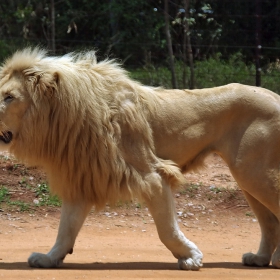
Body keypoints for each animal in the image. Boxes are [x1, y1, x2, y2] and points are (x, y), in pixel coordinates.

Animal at [0, 47, 278, 270]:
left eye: (9, 97)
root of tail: (274, 95)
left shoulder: (151, 175)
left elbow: (167, 229)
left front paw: (191, 257)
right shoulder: (84, 178)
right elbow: (66, 229)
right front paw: (49, 259)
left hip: (254, 174)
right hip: (249, 177)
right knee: (269, 222)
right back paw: (260, 259)